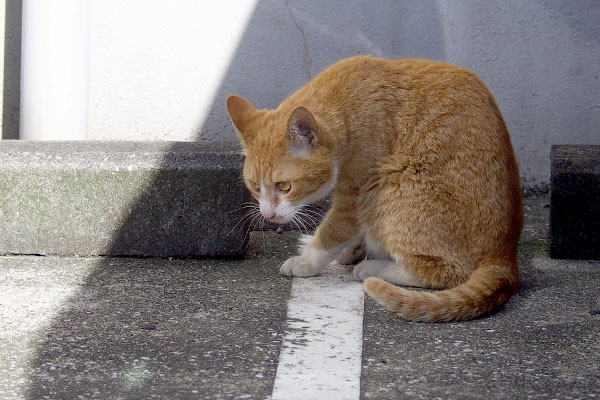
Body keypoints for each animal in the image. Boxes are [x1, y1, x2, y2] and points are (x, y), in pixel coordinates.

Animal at [227, 55, 524, 322]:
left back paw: (372, 268)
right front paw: (351, 249)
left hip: (390, 182)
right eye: (254, 186)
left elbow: (331, 231)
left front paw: (306, 262)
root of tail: (504, 257)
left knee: (448, 273)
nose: (268, 215)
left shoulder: (355, 195)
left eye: (284, 186)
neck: (347, 106)